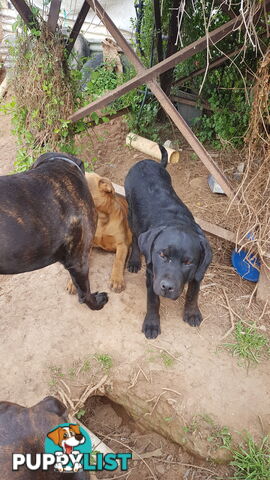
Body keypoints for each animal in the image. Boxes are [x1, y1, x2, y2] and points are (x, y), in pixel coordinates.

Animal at [125, 146, 213, 338]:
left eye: (188, 262)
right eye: (162, 255)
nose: (167, 287)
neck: (177, 221)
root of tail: (147, 161)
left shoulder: (199, 271)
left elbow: (193, 293)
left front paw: (192, 313)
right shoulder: (152, 274)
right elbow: (153, 301)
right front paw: (151, 324)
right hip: (131, 213)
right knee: (134, 237)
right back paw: (134, 260)